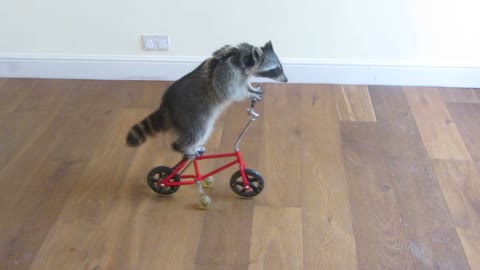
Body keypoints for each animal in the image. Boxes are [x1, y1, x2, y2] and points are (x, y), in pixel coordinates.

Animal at [125, 39, 286, 154]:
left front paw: (251, 88)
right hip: (190, 116)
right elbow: (231, 92)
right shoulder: (227, 73)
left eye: (280, 67)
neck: (242, 58)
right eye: (276, 69)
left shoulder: (241, 74)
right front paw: (247, 94)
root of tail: (166, 106)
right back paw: (185, 149)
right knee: (198, 132)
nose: (286, 80)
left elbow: (244, 84)